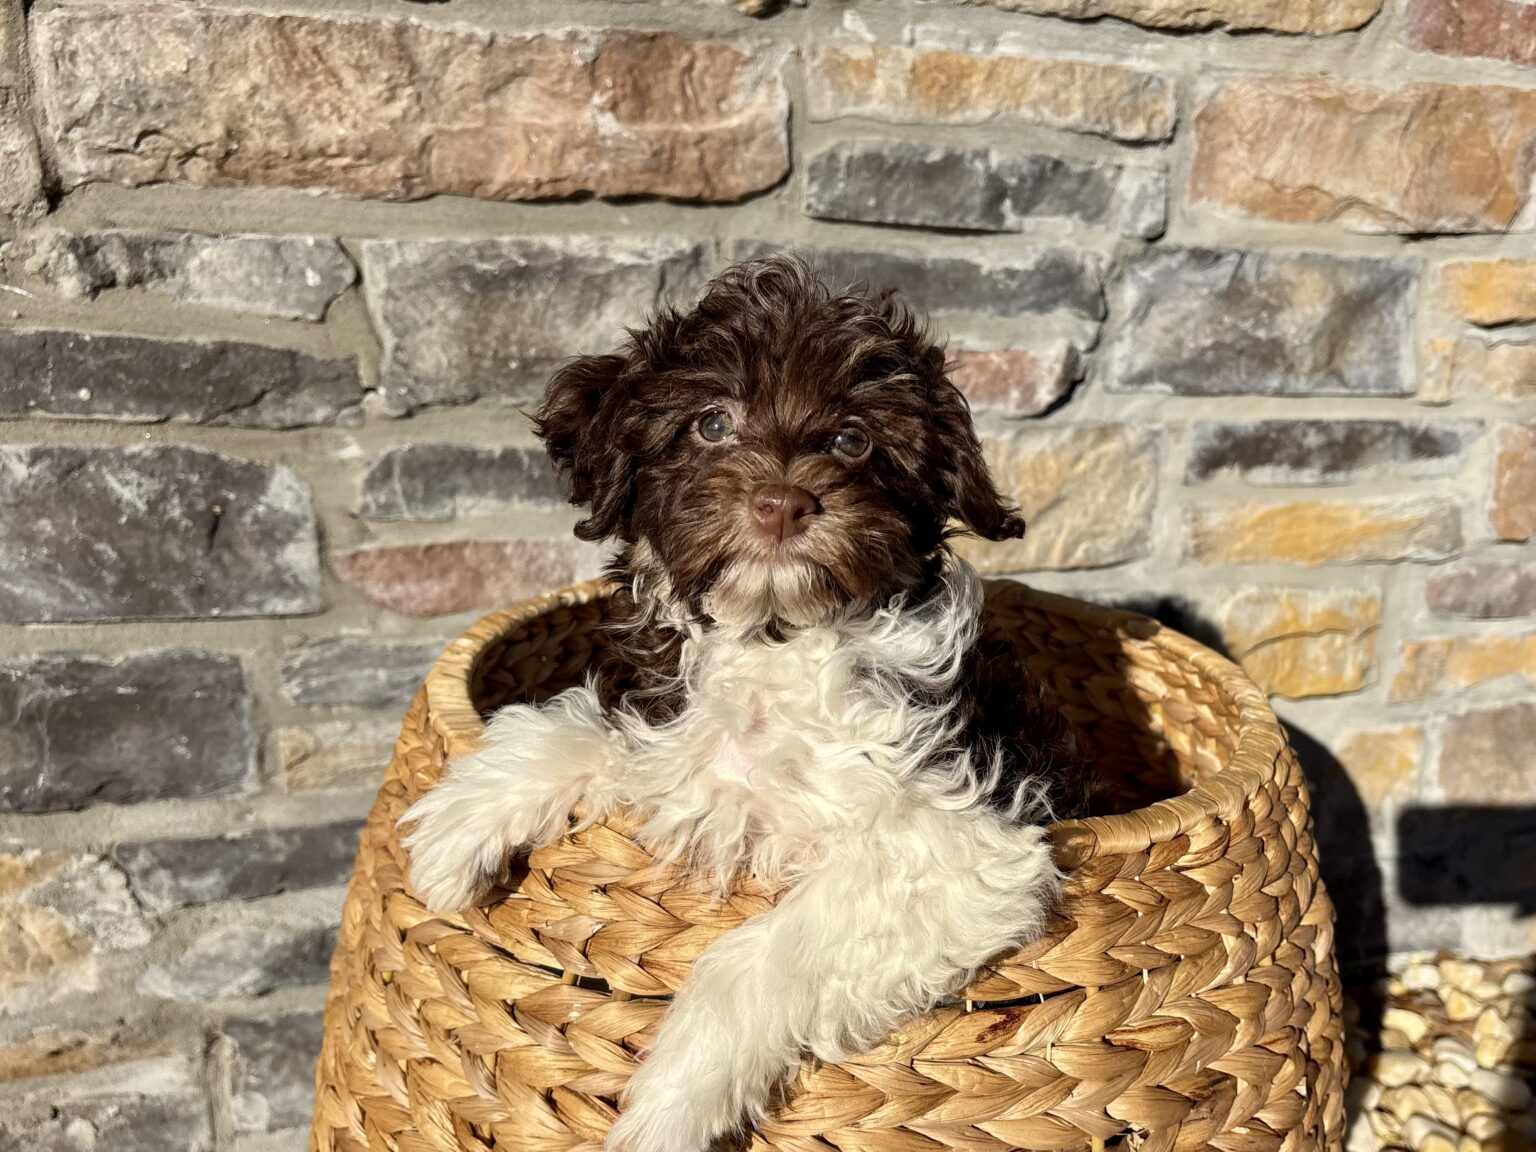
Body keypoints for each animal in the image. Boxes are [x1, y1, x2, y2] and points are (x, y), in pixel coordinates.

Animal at [402, 254, 1092, 1152]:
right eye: (711, 424)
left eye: (852, 438)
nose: (783, 504)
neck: (775, 635)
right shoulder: (673, 730)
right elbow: (593, 727)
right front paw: (461, 827)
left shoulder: (963, 846)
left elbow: (762, 953)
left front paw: (670, 1108)